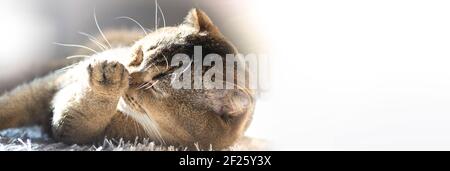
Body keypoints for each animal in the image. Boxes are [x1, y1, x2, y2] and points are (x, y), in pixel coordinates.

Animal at [0, 8, 255, 149]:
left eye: (155, 87)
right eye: (139, 54)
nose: (128, 75)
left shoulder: (81, 132)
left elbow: (79, 116)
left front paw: (107, 83)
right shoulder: (50, 83)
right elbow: (12, 105)